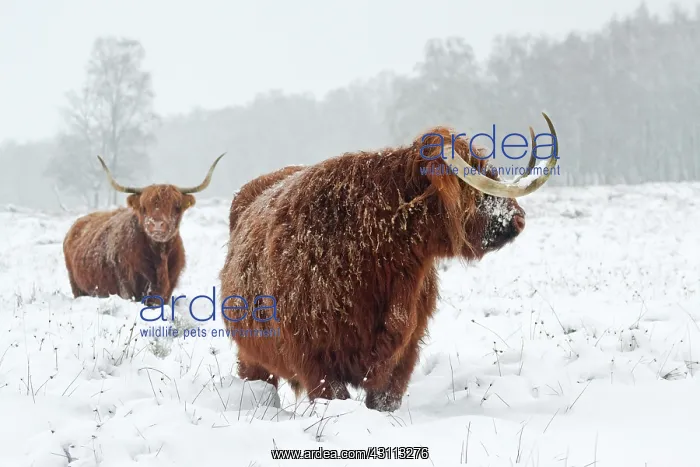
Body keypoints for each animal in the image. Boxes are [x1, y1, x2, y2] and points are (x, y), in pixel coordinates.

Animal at [63, 154, 224, 305]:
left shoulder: (168, 287)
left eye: (176, 206)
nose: (157, 224)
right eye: (143, 207)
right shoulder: (127, 287)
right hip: (77, 287)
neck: (160, 255)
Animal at [219, 113, 558, 411]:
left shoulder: (404, 353)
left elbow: (385, 400)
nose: (518, 218)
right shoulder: (315, 357)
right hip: (252, 356)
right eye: (471, 179)